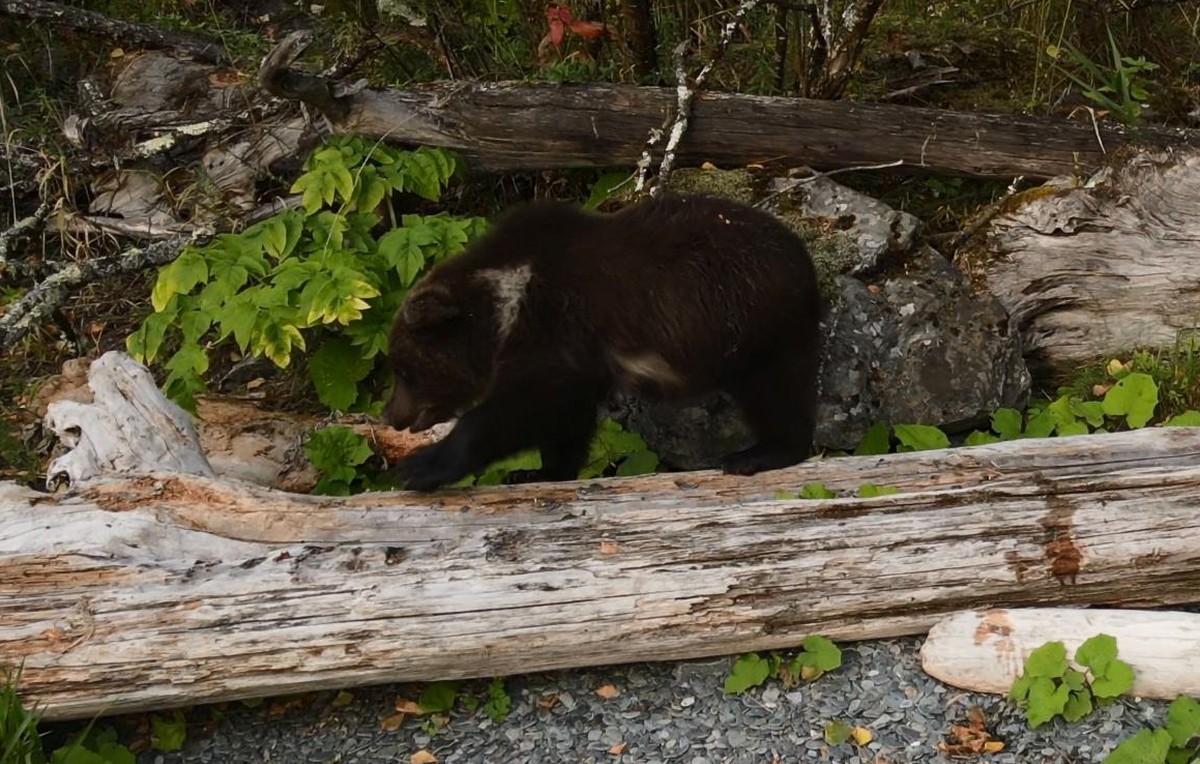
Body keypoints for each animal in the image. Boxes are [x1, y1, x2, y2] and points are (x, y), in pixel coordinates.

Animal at [384, 193, 825, 491]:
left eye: (404, 369)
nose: (392, 415)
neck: (503, 309)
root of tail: (804, 257)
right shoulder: (578, 358)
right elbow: (565, 420)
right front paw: (540, 470)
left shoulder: (554, 325)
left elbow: (522, 405)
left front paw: (422, 465)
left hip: (754, 323)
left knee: (775, 389)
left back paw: (756, 454)